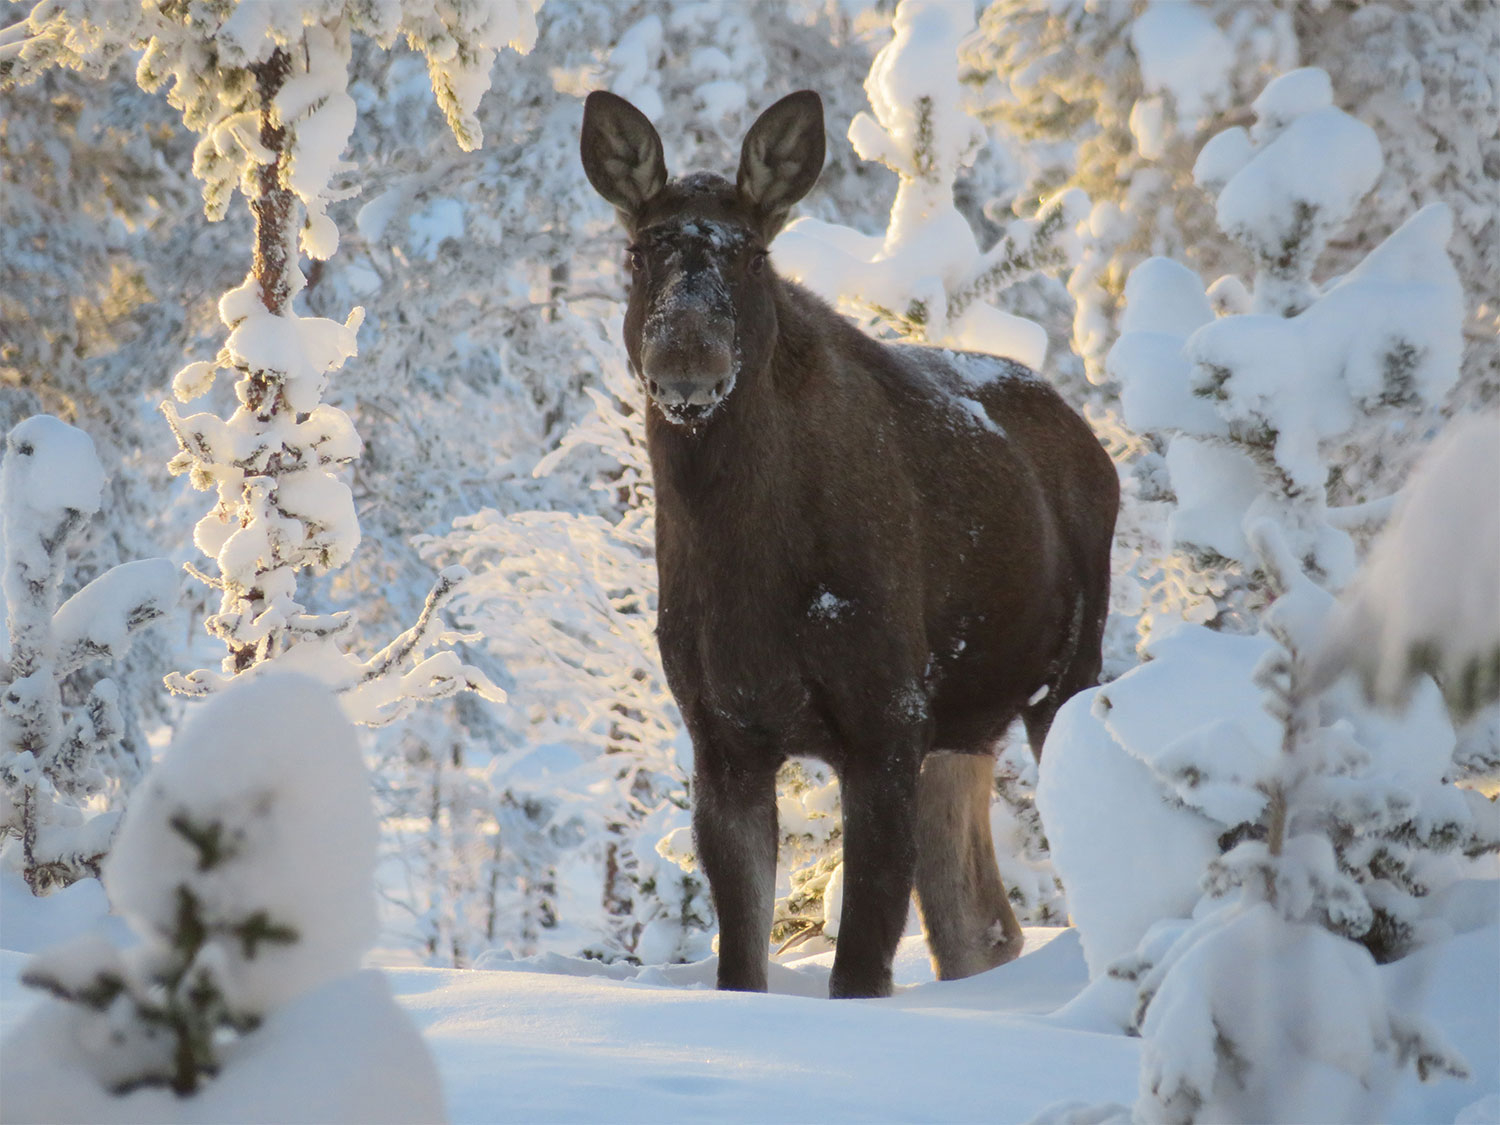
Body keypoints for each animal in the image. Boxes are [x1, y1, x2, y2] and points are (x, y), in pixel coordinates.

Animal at [579, 90, 1122, 1002]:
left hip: (1064, 676)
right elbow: (742, 965)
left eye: (754, 253)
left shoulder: (885, 716)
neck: (743, 565)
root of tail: (1093, 442)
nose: (687, 359)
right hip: (962, 726)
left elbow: (860, 968)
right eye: (638, 250)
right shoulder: (723, 735)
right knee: (980, 924)